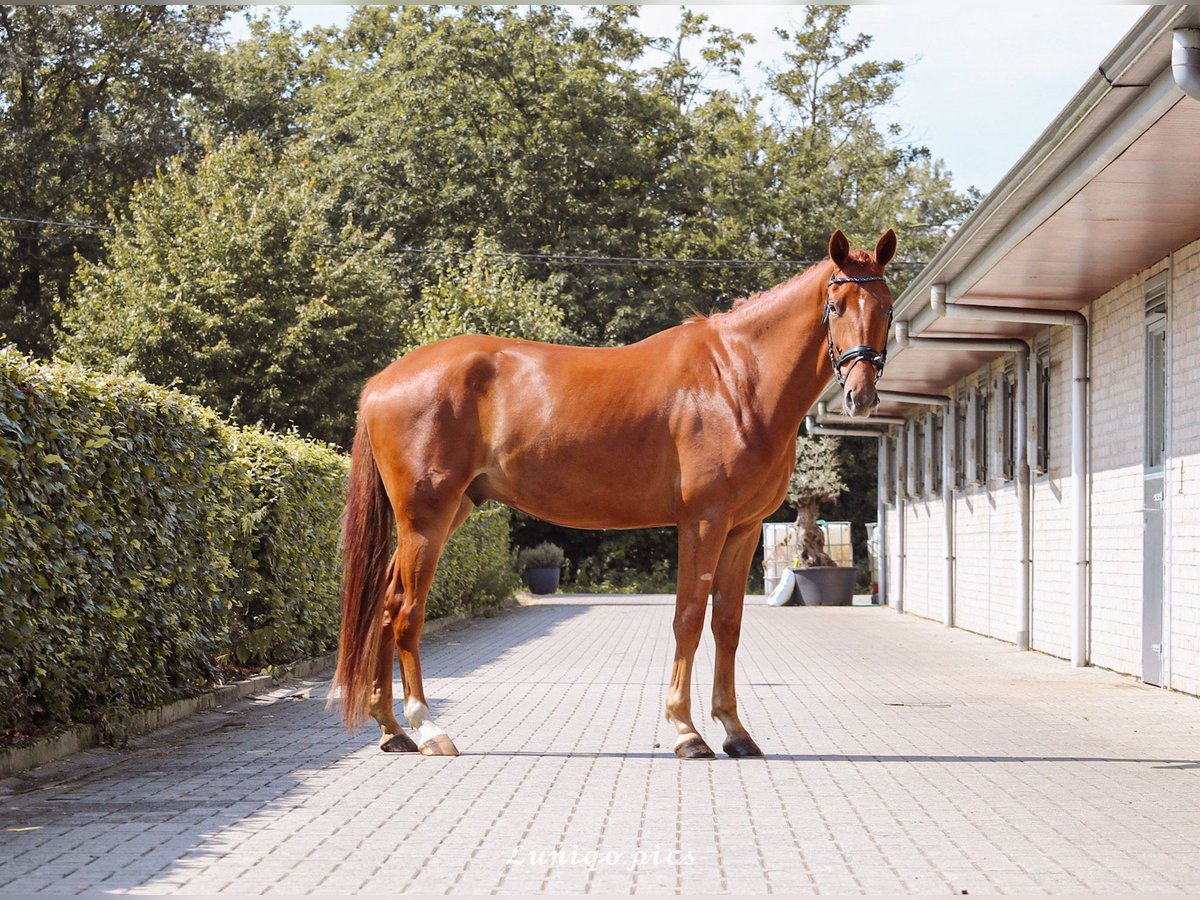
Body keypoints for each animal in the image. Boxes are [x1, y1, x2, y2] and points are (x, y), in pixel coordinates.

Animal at [333, 229, 897, 758]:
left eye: (887, 307)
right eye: (835, 305)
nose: (860, 395)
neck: (736, 380)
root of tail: (381, 382)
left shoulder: (743, 528)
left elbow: (728, 624)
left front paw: (735, 732)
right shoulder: (703, 522)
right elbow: (689, 618)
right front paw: (687, 732)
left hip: (447, 513)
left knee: (386, 604)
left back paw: (391, 730)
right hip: (426, 518)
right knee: (407, 611)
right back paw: (428, 729)